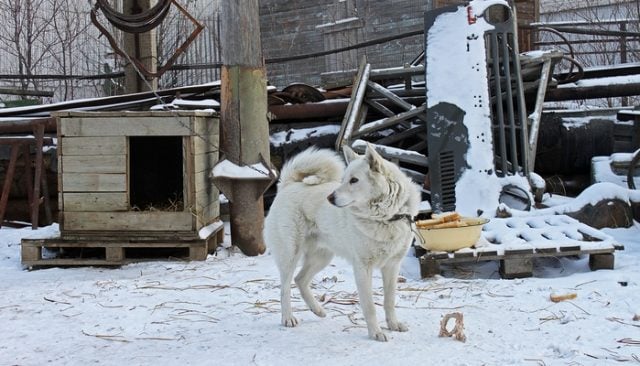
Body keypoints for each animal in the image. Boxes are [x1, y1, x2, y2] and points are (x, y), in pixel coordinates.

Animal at [262, 143, 422, 340]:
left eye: (354, 180)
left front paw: (393, 325)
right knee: (285, 288)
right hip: (290, 255)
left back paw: (318, 310)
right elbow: (369, 307)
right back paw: (288, 318)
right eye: (344, 179)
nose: (330, 198)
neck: (385, 217)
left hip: (322, 257)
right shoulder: (363, 268)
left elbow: (389, 301)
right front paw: (376, 333)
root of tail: (288, 184)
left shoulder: (392, 267)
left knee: (300, 280)